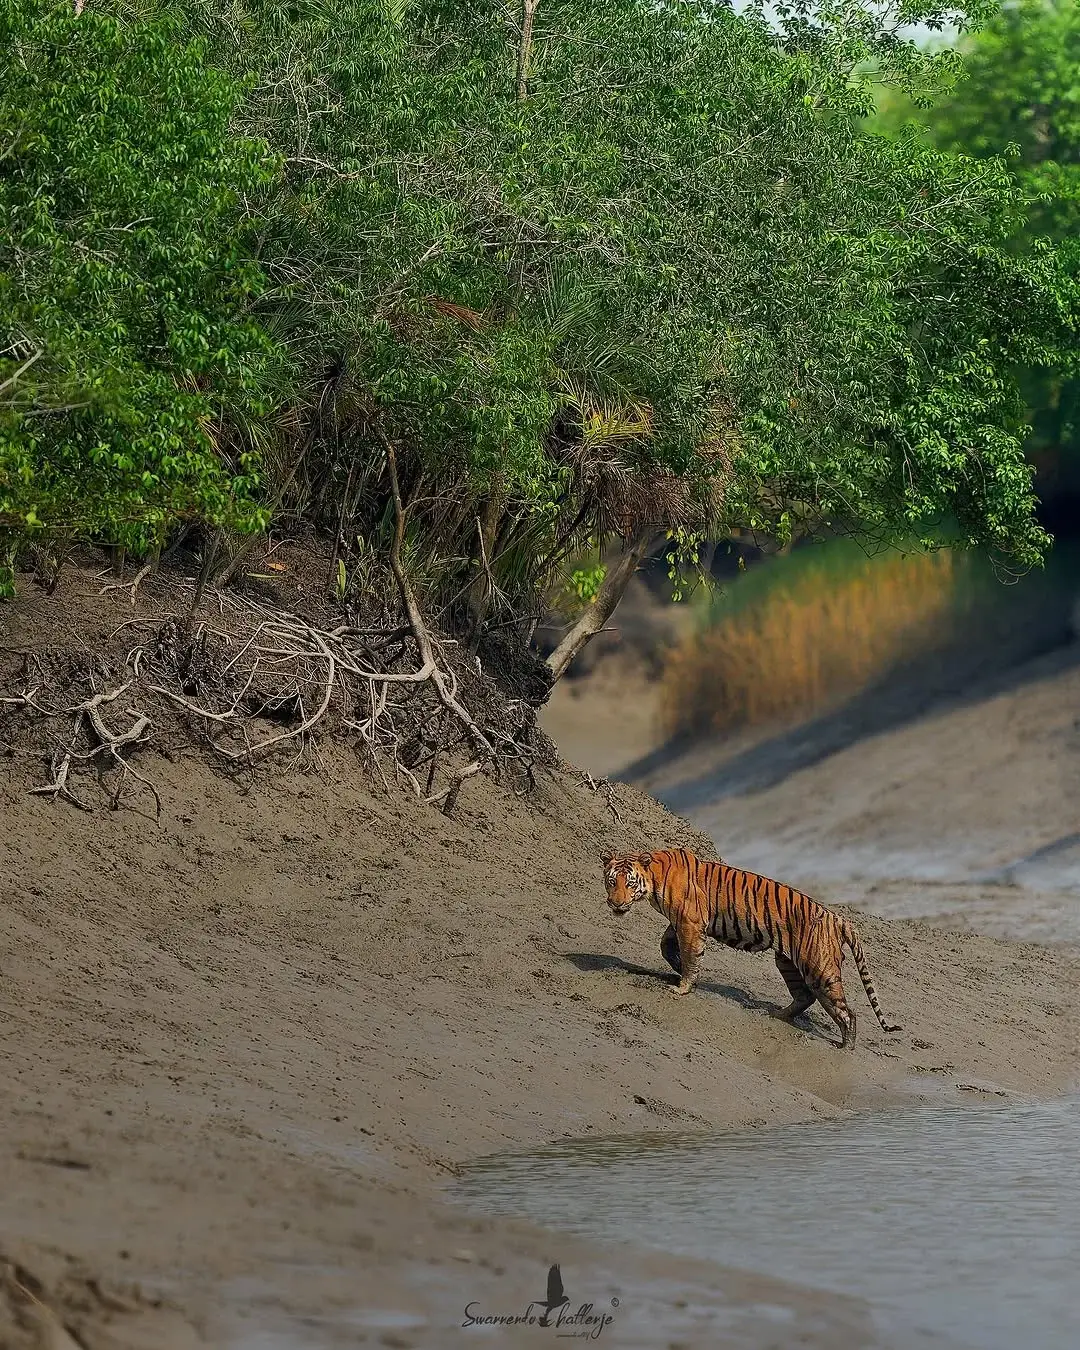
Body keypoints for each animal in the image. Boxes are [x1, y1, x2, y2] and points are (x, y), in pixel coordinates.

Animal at [599, 848, 900, 1049]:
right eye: (612, 881)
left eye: (629, 883)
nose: (615, 903)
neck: (654, 876)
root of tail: (837, 917)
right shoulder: (679, 924)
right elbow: (667, 947)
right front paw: (678, 968)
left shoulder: (689, 923)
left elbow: (689, 955)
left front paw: (682, 986)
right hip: (787, 962)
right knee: (804, 996)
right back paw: (777, 1015)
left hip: (819, 970)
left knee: (847, 1012)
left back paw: (845, 1047)